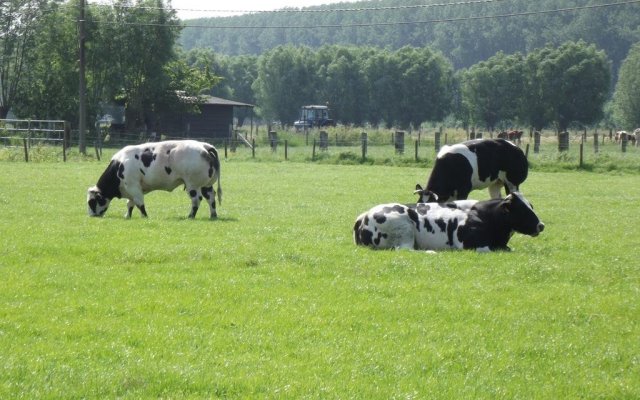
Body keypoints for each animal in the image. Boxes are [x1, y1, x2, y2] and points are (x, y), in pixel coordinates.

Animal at [87, 139, 222, 217]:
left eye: (92, 202)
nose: (91, 216)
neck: (119, 164)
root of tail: (204, 146)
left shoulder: (133, 186)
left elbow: (139, 203)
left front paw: (145, 217)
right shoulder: (132, 189)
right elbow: (130, 204)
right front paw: (127, 216)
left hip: (192, 184)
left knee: (196, 199)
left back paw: (190, 216)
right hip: (206, 185)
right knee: (211, 197)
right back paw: (213, 215)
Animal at [352, 192, 544, 252]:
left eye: (531, 206)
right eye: (522, 210)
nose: (541, 225)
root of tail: (364, 216)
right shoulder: (473, 245)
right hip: (404, 227)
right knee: (405, 249)